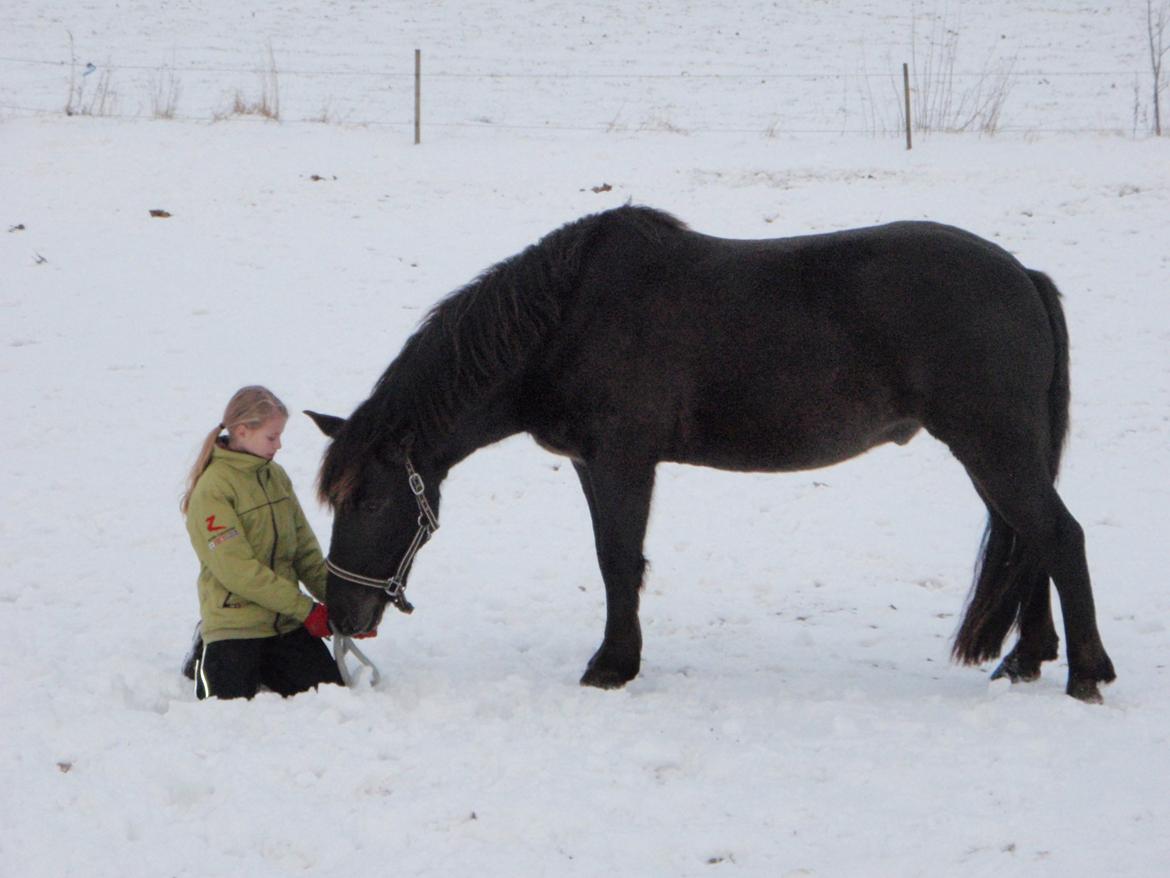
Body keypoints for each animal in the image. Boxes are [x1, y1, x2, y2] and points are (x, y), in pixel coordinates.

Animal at [308, 204, 1113, 702]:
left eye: (369, 498)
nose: (340, 613)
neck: (568, 318)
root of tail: (1024, 277)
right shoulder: (593, 465)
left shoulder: (621, 461)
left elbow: (618, 561)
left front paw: (612, 666)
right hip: (998, 454)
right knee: (1031, 542)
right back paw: (1026, 658)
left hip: (992, 447)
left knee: (1059, 537)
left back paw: (1086, 674)